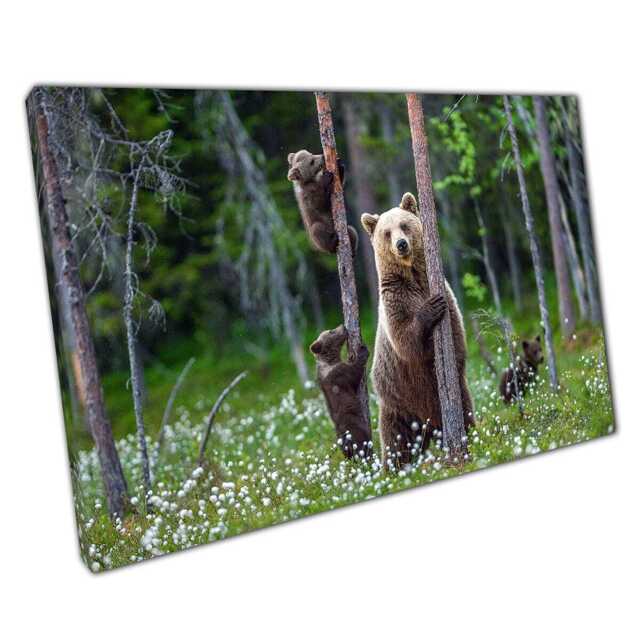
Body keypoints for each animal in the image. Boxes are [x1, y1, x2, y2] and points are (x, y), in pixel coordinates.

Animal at [310, 324, 372, 459]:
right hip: (355, 427)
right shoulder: (338, 375)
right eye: (331, 331)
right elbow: (354, 373)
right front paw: (362, 350)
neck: (330, 361)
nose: (343, 326)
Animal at [360, 192, 475, 470]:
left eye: (404, 225)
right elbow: (405, 341)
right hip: (398, 404)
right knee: (396, 442)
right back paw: (394, 469)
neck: (413, 275)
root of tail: (429, 425)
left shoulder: (444, 292)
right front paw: (430, 308)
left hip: (451, 395)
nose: (401, 244)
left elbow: (455, 335)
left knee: (466, 411)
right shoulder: (395, 300)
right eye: (386, 232)